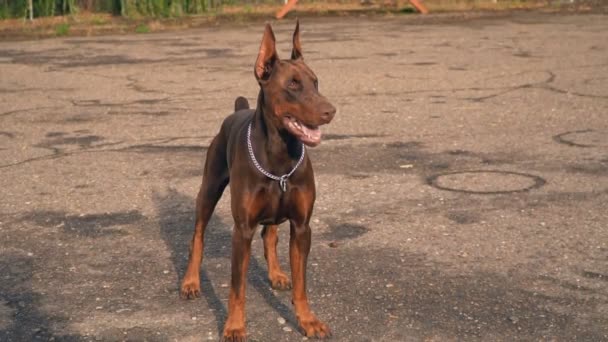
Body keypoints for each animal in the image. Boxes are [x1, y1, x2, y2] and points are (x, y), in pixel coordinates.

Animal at [180, 20, 334, 340]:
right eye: (292, 84)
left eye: (316, 82)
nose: (331, 111)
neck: (280, 157)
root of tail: (238, 110)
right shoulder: (242, 230)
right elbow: (237, 288)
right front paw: (234, 326)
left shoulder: (302, 227)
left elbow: (302, 282)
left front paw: (307, 320)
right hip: (209, 188)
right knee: (197, 236)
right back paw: (190, 282)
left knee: (270, 235)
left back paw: (276, 273)